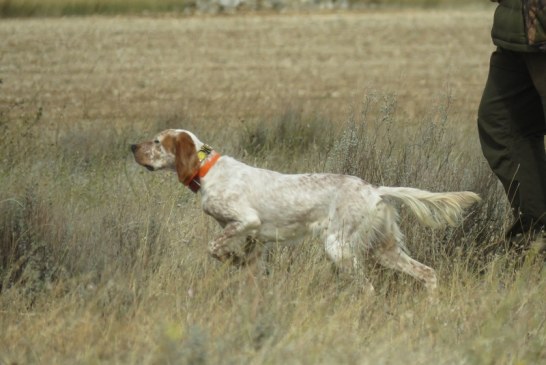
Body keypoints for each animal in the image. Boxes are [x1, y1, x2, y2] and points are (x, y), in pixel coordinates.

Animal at [130, 128, 478, 292]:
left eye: (158, 142)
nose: (132, 146)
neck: (208, 170)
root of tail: (374, 190)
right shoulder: (255, 239)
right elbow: (251, 269)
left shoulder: (246, 220)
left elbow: (214, 248)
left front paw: (231, 259)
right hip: (384, 248)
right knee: (428, 273)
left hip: (339, 247)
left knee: (368, 287)